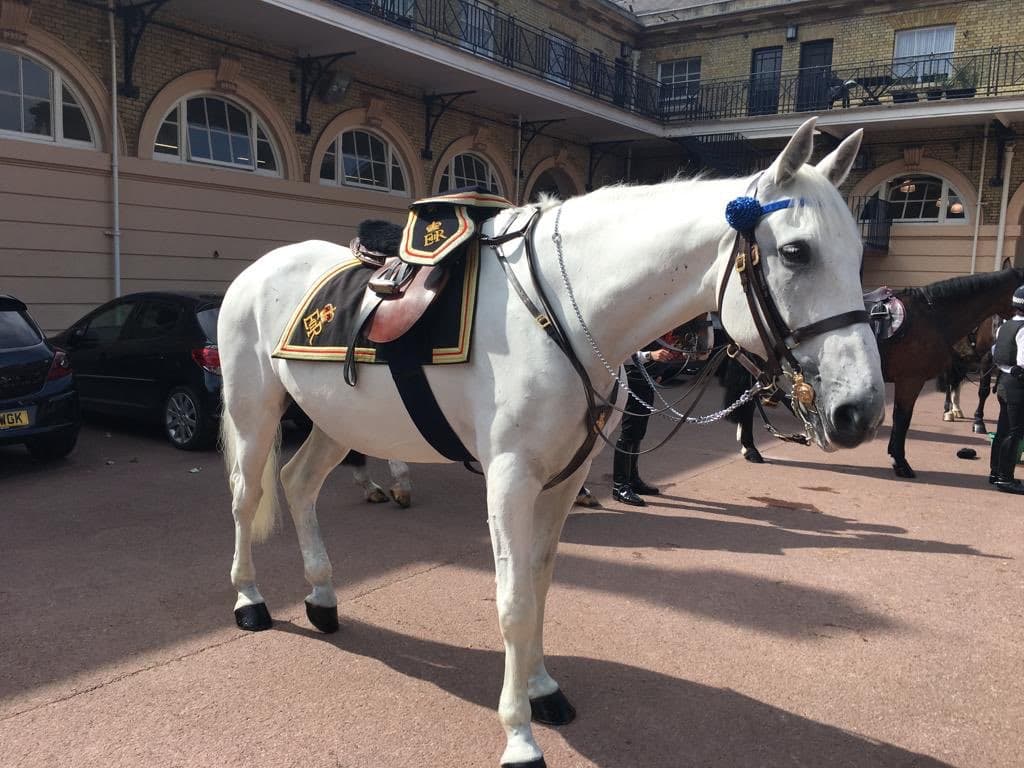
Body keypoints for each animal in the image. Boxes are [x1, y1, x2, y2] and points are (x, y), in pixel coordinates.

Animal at [217, 117, 884, 768]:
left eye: (857, 253)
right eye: (795, 252)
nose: (862, 411)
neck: (560, 308)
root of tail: (260, 268)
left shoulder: (564, 479)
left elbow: (539, 585)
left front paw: (540, 688)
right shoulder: (510, 478)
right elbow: (513, 601)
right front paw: (519, 736)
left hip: (338, 422)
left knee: (298, 483)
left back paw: (322, 596)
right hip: (255, 413)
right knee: (247, 497)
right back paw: (250, 600)